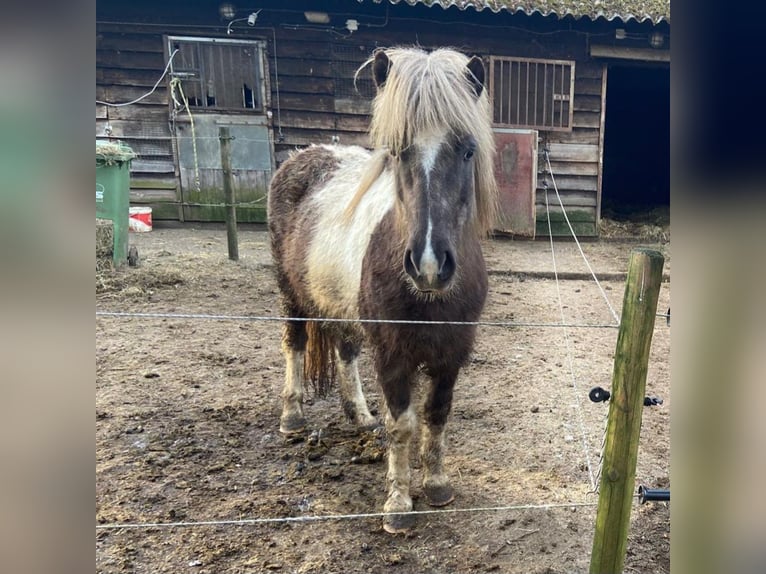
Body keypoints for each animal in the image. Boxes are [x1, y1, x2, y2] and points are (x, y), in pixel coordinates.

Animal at [267, 46, 498, 533]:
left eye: (467, 150)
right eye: (395, 151)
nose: (429, 264)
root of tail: (305, 155)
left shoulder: (453, 352)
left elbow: (436, 415)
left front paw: (437, 485)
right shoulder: (393, 353)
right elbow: (403, 425)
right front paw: (398, 504)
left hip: (338, 304)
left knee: (344, 351)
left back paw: (360, 415)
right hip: (292, 295)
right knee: (294, 344)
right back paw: (292, 416)